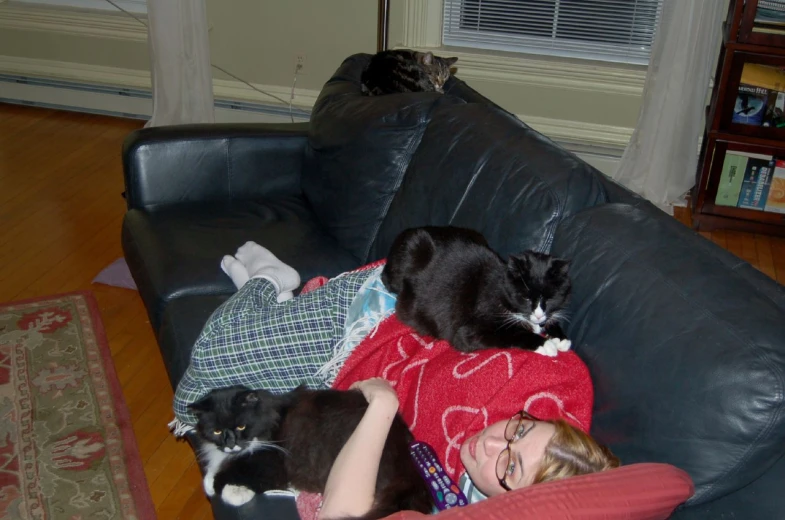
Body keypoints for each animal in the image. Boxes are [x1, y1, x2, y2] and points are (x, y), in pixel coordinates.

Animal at [191, 384, 434, 516]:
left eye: (241, 427)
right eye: (216, 431)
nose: (230, 443)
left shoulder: (272, 464)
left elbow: (244, 477)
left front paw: (230, 492)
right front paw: (211, 479)